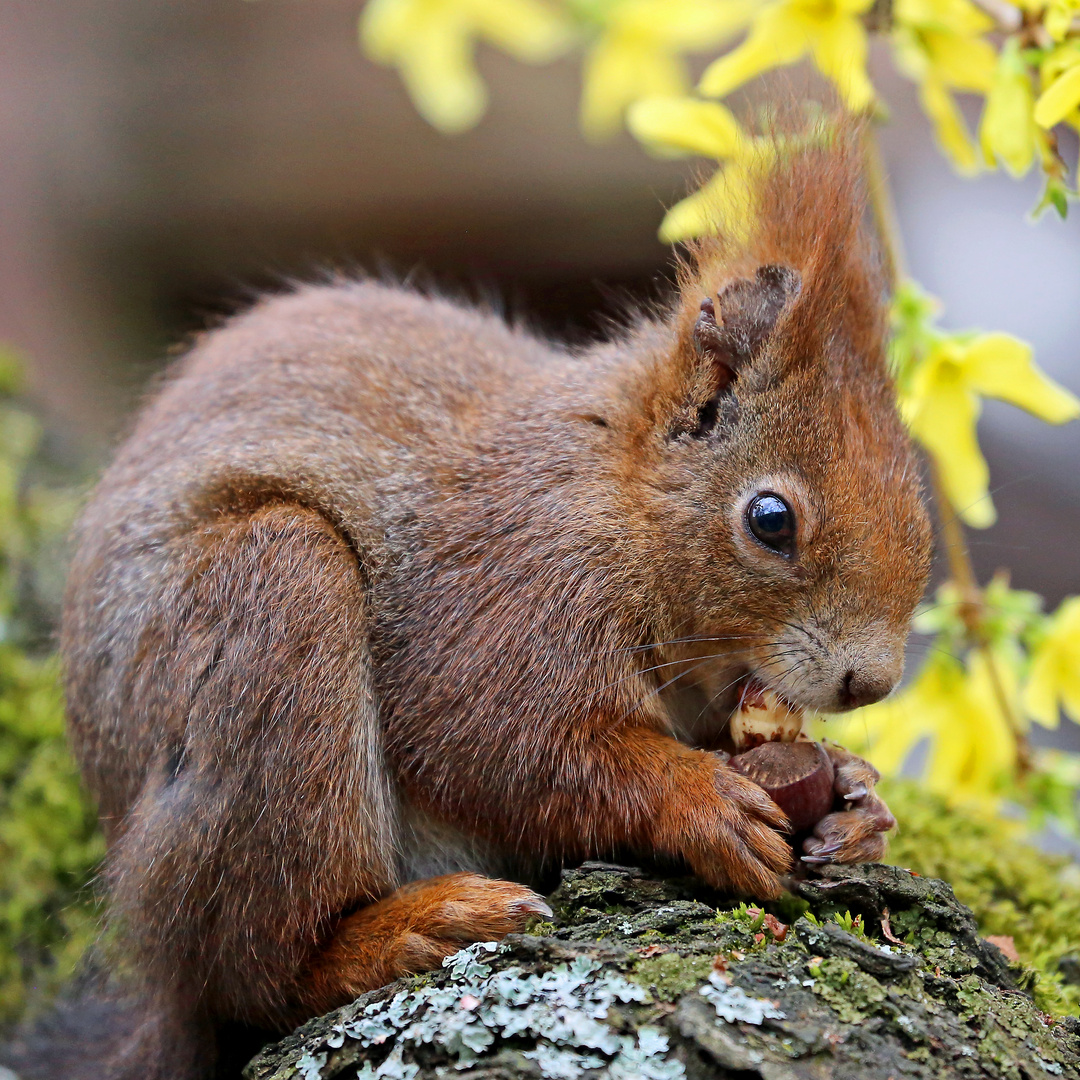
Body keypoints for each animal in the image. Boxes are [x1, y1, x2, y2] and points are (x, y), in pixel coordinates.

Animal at [54, 124, 928, 1080]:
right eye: (771, 520)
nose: (871, 682)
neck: (620, 497)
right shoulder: (510, 583)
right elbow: (501, 743)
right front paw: (704, 803)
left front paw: (855, 798)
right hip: (275, 615)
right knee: (254, 970)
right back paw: (406, 930)